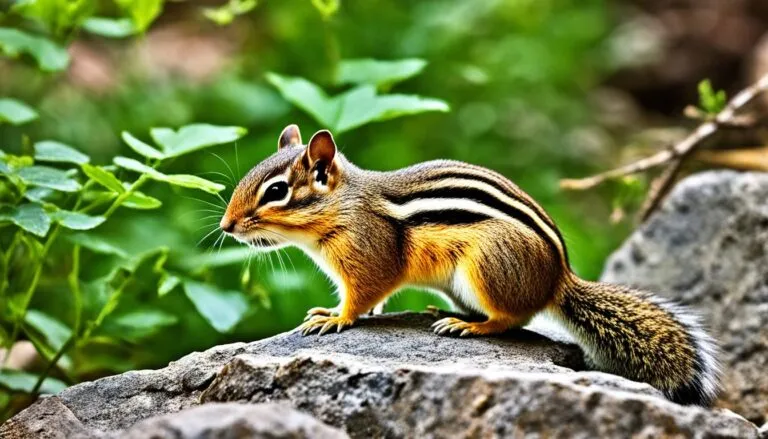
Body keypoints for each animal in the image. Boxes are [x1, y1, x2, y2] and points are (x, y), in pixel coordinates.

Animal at [220, 124, 720, 406]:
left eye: (277, 191)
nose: (226, 226)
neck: (346, 205)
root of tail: (558, 278)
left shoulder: (369, 257)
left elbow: (362, 296)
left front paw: (335, 317)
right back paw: (445, 313)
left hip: (486, 268)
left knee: (513, 319)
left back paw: (470, 326)